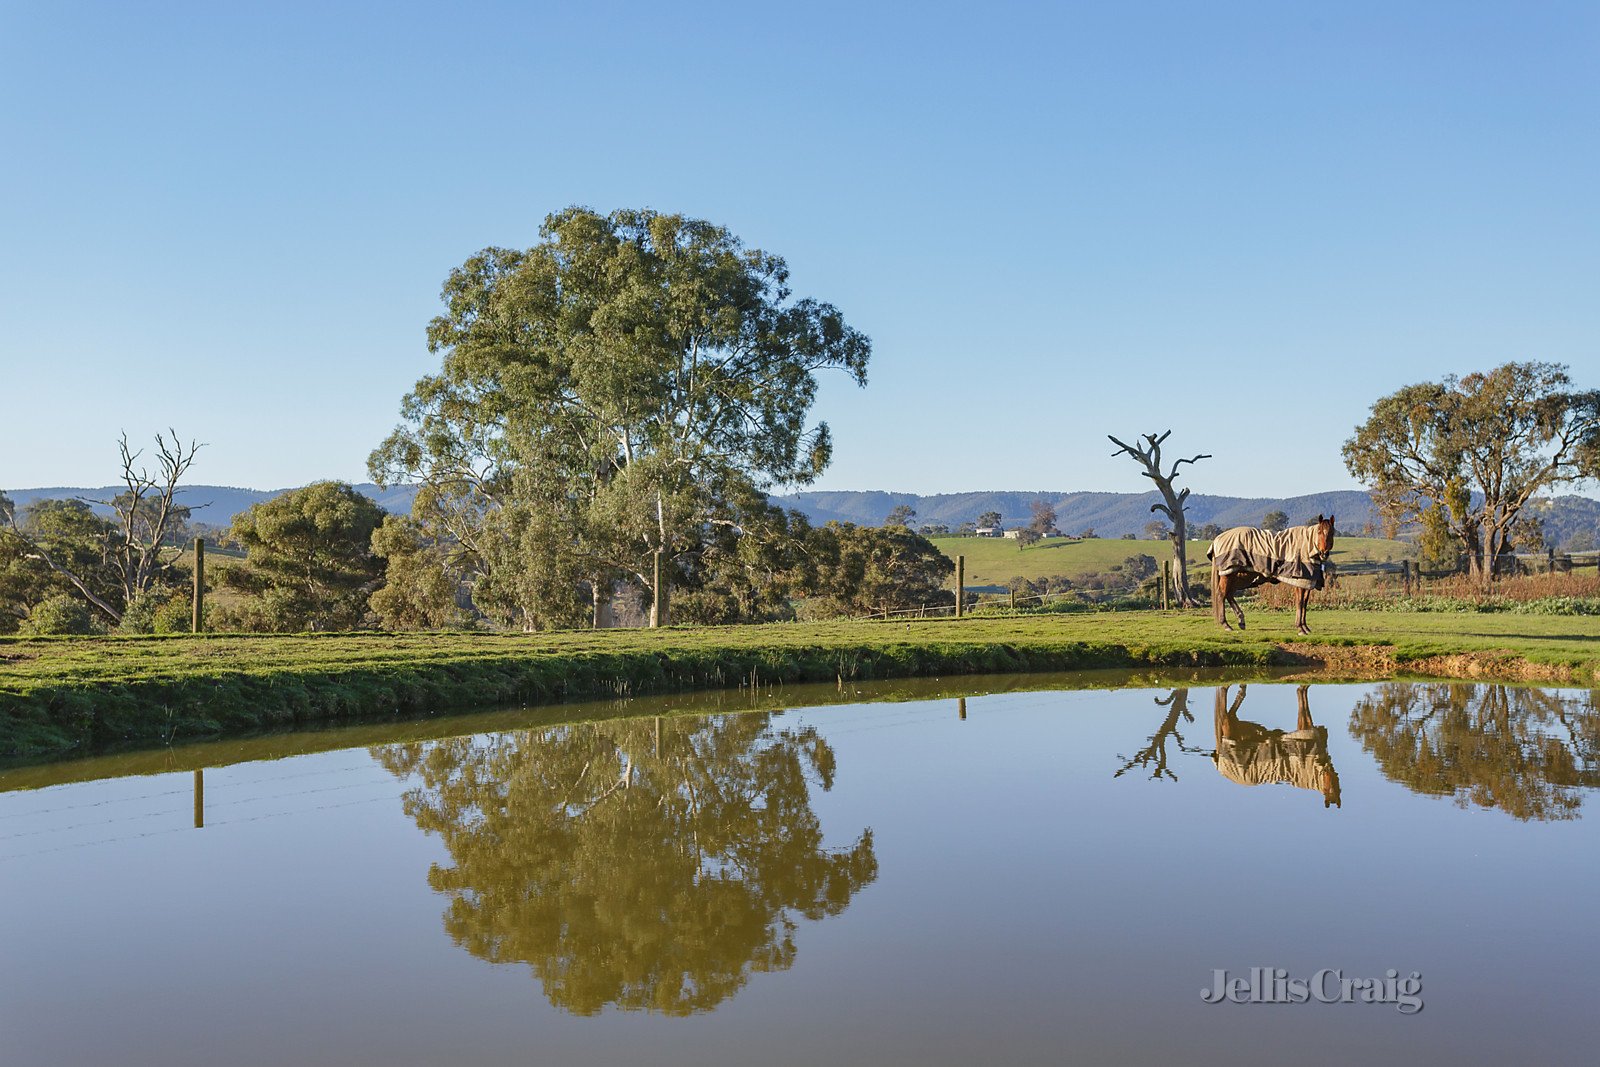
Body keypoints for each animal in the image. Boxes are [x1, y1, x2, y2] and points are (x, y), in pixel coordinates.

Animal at [1203, 515, 1331, 633]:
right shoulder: (1300, 582)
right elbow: (1300, 602)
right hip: (1229, 574)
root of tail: (1217, 540)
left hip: (1239, 575)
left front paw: (1305, 627)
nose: (1324, 552)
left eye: (1331, 532)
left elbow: (1304, 602)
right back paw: (1226, 624)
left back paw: (1241, 621)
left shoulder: (1308, 583)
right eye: (1319, 532)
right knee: (1221, 594)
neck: (1307, 545)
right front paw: (1300, 628)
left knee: (1228, 593)